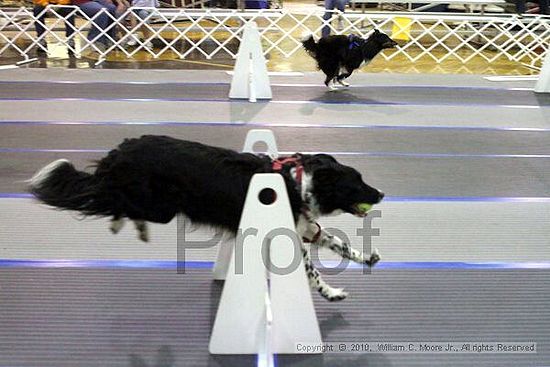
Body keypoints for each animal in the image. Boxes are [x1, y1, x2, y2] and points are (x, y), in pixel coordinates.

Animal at [29, 135, 384, 302]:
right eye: (357, 182)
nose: (381, 194)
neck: (298, 182)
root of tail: (121, 151)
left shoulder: (307, 227)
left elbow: (338, 243)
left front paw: (366, 257)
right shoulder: (290, 235)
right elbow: (313, 272)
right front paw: (331, 293)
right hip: (160, 207)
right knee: (114, 200)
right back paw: (121, 221)